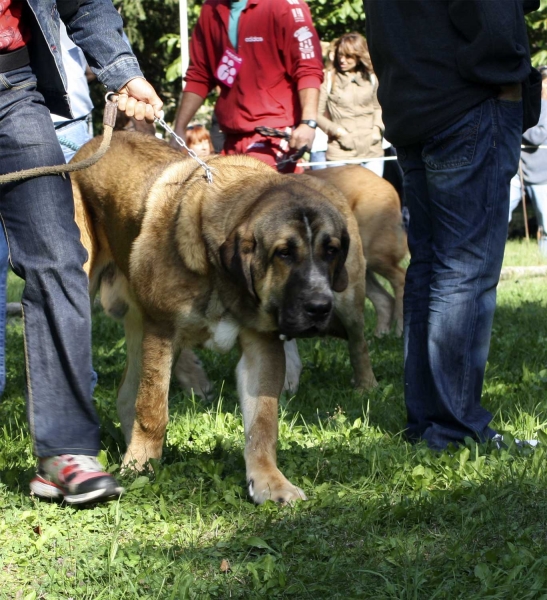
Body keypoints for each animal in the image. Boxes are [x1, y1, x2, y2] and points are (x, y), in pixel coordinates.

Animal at [73, 132, 376, 506]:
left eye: (331, 250)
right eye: (284, 253)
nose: (319, 307)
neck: (222, 276)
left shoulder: (262, 346)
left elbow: (263, 422)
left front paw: (270, 482)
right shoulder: (161, 332)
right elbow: (153, 409)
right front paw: (140, 466)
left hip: (349, 298)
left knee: (359, 342)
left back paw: (367, 386)